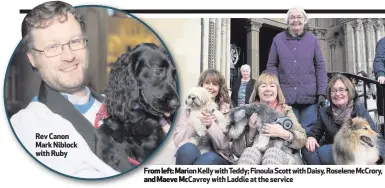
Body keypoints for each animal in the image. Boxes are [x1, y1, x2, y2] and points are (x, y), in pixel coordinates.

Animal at [96, 42, 180, 172]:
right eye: (159, 70)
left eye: (173, 74)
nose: (177, 104)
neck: (137, 115)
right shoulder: (115, 119)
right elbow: (101, 129)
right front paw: (105, 153)